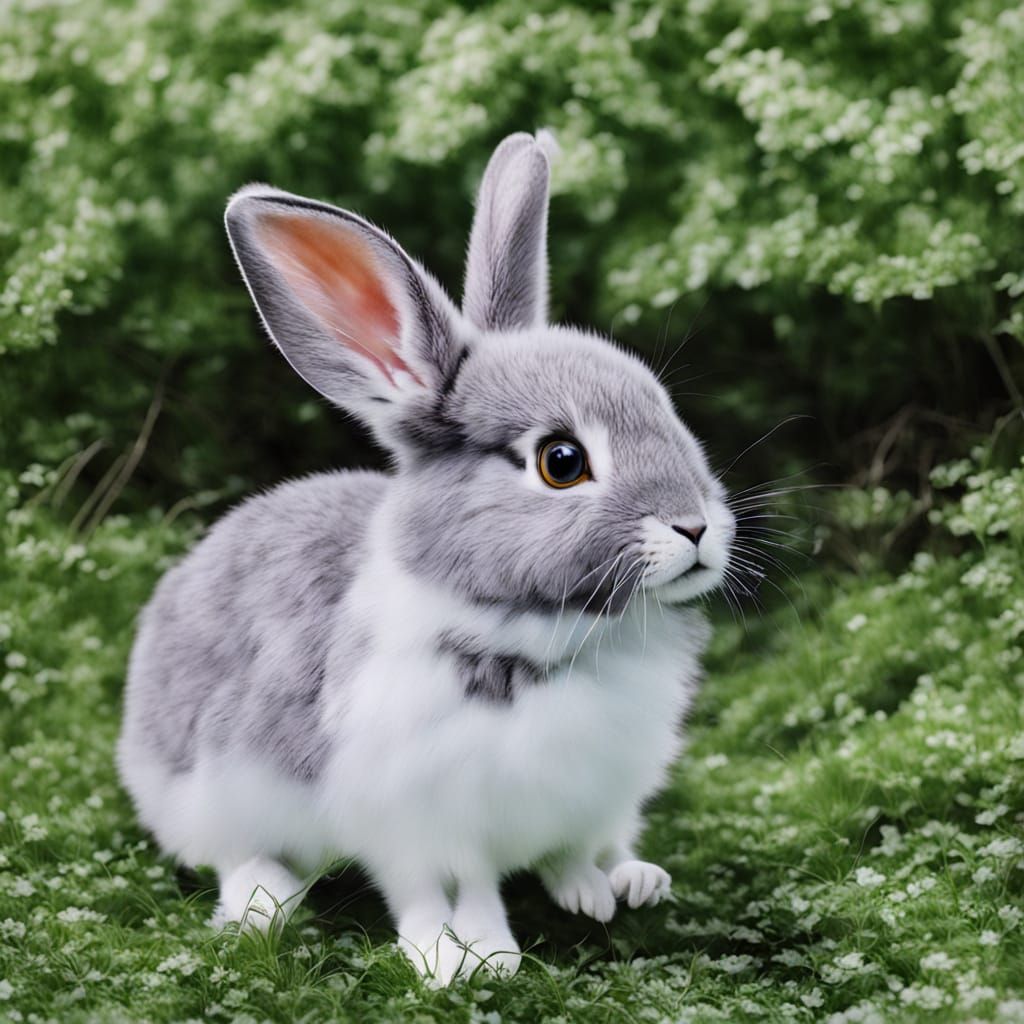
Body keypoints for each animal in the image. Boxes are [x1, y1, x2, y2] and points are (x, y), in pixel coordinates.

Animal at [117, 130, 736, 984]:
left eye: (664, 408)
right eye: (562, 461)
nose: (695, 527)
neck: (547, 640)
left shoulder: (594, 797)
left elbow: (573, 852)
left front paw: (598, 890)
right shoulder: (417, 822)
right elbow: (448, 889)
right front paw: (468, 957)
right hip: (215, 793)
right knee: (238, 856)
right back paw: (263, 903)